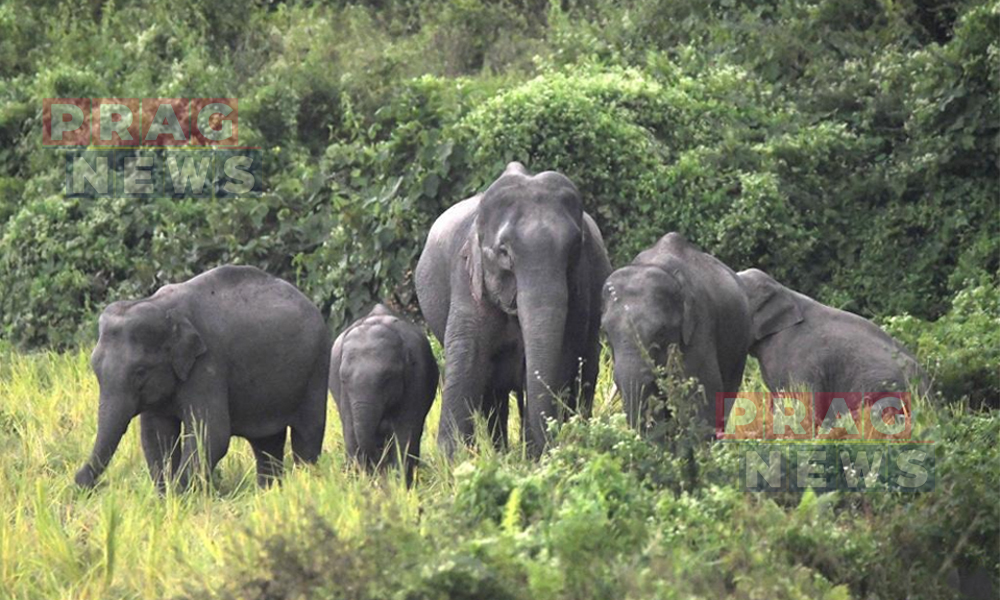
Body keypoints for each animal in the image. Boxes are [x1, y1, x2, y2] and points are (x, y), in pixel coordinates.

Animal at [75, 265, 331, 491]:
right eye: (95, 369)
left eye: (140, 371)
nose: (81, 481)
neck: (161, 306)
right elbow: (156, 436)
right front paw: (165, 497)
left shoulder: (208, 364)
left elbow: (211, 435)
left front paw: (179, 494)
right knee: (266, 443)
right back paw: (269, 493)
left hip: (317, 367)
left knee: (307, 434)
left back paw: (306, 482)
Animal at [329, 304, 439, 484]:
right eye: (343, 379)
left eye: (387, 378)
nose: (378, 462)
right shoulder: (341, 391)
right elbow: (351, 433)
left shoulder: (416, 378)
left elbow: (405, 433)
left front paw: (398, 484)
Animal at [415, 162, 612, 456]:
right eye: (504, 253)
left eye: (575, 248)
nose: (549, 446)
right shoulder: (468, 281)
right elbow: (467, 354)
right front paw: (453, 459)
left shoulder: (581, 286)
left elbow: (564, 353)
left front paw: (536, 456)